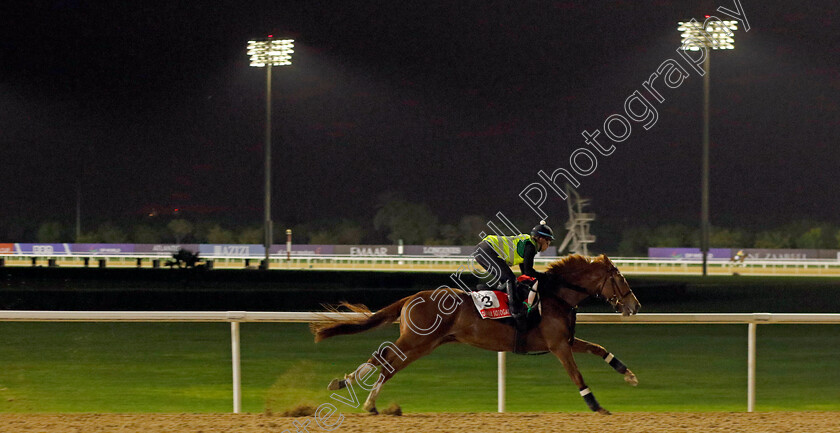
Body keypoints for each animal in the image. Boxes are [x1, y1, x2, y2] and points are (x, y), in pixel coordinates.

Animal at [312, 255, 640, 414]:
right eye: (621, 279)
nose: (635, 305)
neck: (555, 296)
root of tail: (412, 297)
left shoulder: (564, 340)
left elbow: (599, 348)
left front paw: (629, 374)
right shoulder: (559, 345)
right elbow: (577, 376)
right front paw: (596, 406)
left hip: (425, 343)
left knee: (386, 360)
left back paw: (351, 388)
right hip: (418, 340)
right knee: (385, 359)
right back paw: (362, 397)